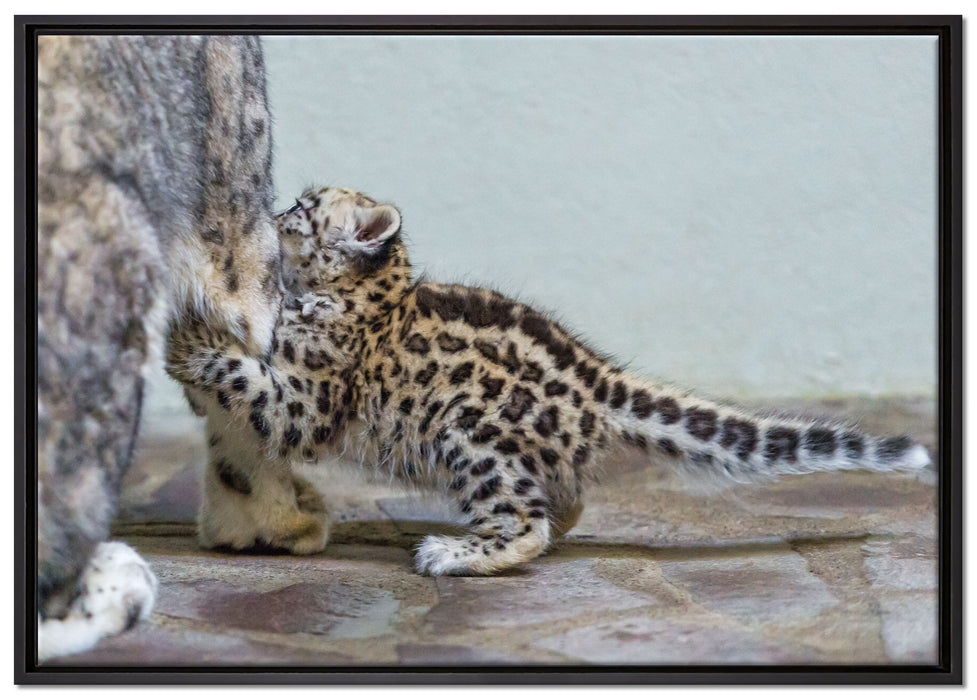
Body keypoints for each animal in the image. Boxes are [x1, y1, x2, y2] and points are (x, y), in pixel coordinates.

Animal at [166, 186, 933, 577]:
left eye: (304, 206)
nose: (272, 211)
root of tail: (600, 381)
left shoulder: (305, 399)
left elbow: (248, 379)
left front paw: (186, 338)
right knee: (562, 503)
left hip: (470, 435)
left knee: (525, 522)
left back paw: (450, 551)